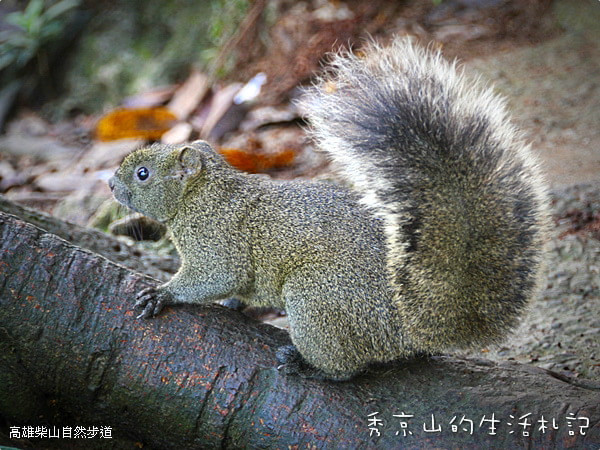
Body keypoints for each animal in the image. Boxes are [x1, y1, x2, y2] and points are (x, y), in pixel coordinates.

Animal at [106, 38, 548, 382]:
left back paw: (308, 366)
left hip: (316, 301)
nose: (110, 184)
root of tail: (411, 327)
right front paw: (233, 304)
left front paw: (163, 293)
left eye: (143, 174)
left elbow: (216, 276)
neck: (202, 195)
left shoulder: (216, 241)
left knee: (347, 368)